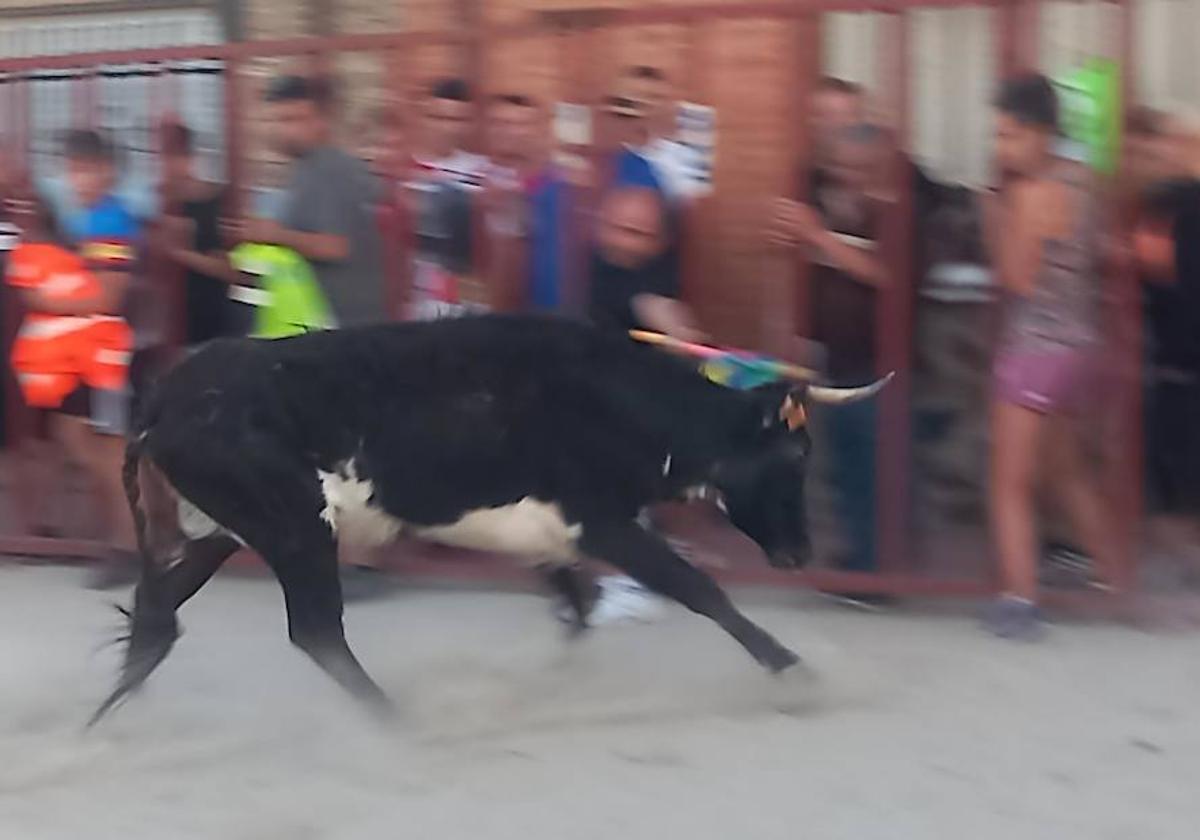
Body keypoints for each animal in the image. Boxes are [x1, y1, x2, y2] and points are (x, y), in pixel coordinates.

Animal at [88, 314, 888, 720]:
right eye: (794, 459)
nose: (799, 552)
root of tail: (164, 401)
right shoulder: (605, 521)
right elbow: (700, 590)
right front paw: (794, 671)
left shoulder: (557, 537)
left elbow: (578, 607)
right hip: (296, 529)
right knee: (315, 631)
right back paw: (399, 722)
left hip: (218, 532)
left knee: (157, 615)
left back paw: (105, 725)